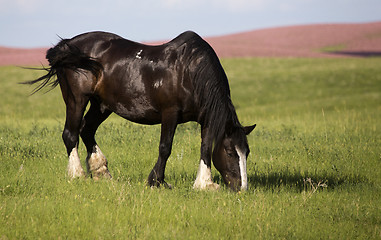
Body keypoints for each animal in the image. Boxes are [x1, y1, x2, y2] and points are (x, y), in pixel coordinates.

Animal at [25, 30, 254, 191]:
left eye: (247, 152)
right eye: (230, 152)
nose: (241, 188)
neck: (190, 72)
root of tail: (67, 46)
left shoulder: (207, 118)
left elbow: (205, 147)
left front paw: (204, 184)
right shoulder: (170, 113)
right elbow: (165, 147)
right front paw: (157, 181)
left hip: (102, 105)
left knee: (86, 130)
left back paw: (101, 171)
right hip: (76, 100)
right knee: (70, 134)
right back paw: (77, 174)